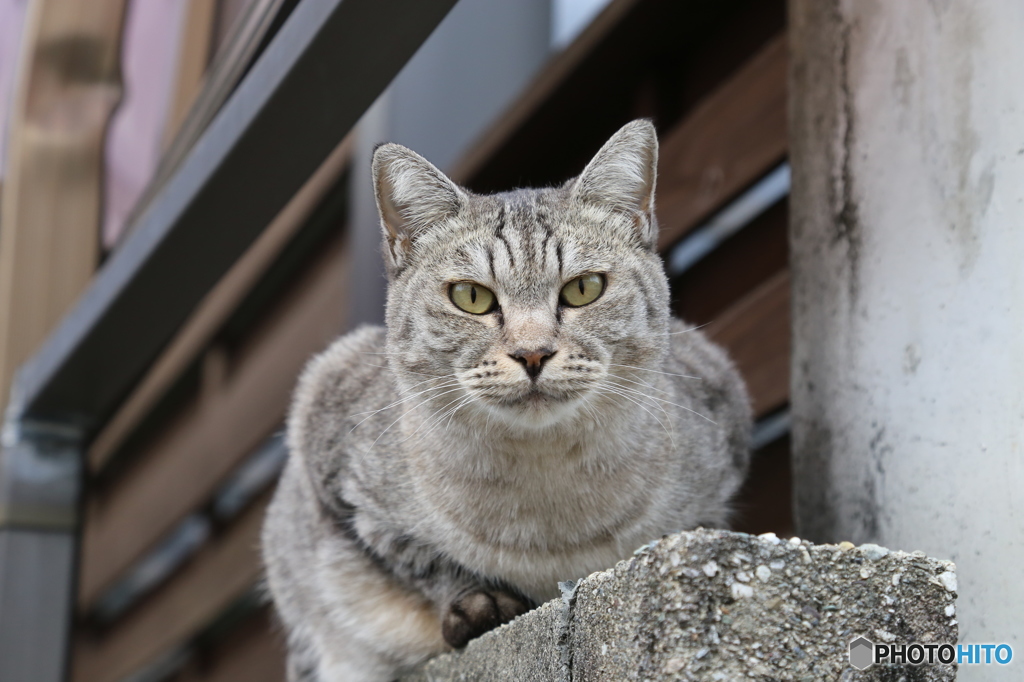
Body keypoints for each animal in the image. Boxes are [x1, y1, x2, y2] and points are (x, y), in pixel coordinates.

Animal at [260, 119, 749, 675]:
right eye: (471, 297)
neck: (547, 501)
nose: (533, 353)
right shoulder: (325, 429)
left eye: (584, 288)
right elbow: (423, 561)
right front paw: (478, 604)